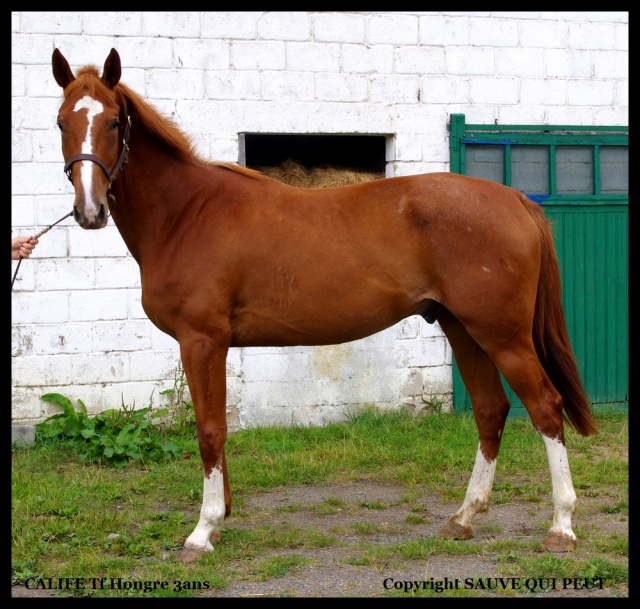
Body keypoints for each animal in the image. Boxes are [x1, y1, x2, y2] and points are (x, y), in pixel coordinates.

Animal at [52, 47, 596, 560]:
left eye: (114, 121)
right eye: (61, 121)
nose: (89, 210)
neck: (187, 215)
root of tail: (516, 200)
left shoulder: (201, 341)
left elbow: (208, 431)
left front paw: (202, 533)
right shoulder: (213, 346)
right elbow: (219, 429)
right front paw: (220, 517)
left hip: (502, 335)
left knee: (545, 409)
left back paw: (561, 526)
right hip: (463, 329)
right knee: (490, 409)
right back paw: (464, 518)